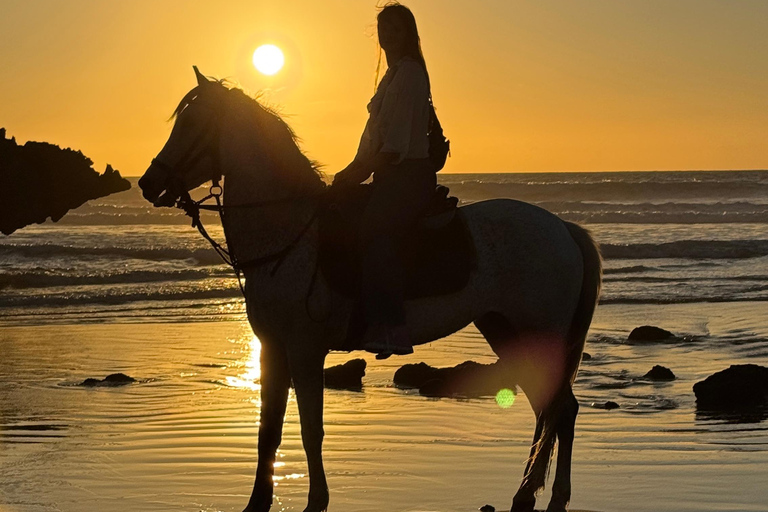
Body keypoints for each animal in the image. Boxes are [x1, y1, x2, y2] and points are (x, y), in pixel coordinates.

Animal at [138, 68, 602, 512]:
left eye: (192, 123)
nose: (147, 182)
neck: (289, 231)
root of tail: (564, 228)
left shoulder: (305, 348)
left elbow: (310, 429)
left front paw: (316, 501)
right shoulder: (273, 347)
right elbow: (268, 431)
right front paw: (257, 502)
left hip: (536, 333)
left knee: (558, 408)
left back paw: (541, 495)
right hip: (505, 331)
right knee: (554, 408)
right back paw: (534, 494)